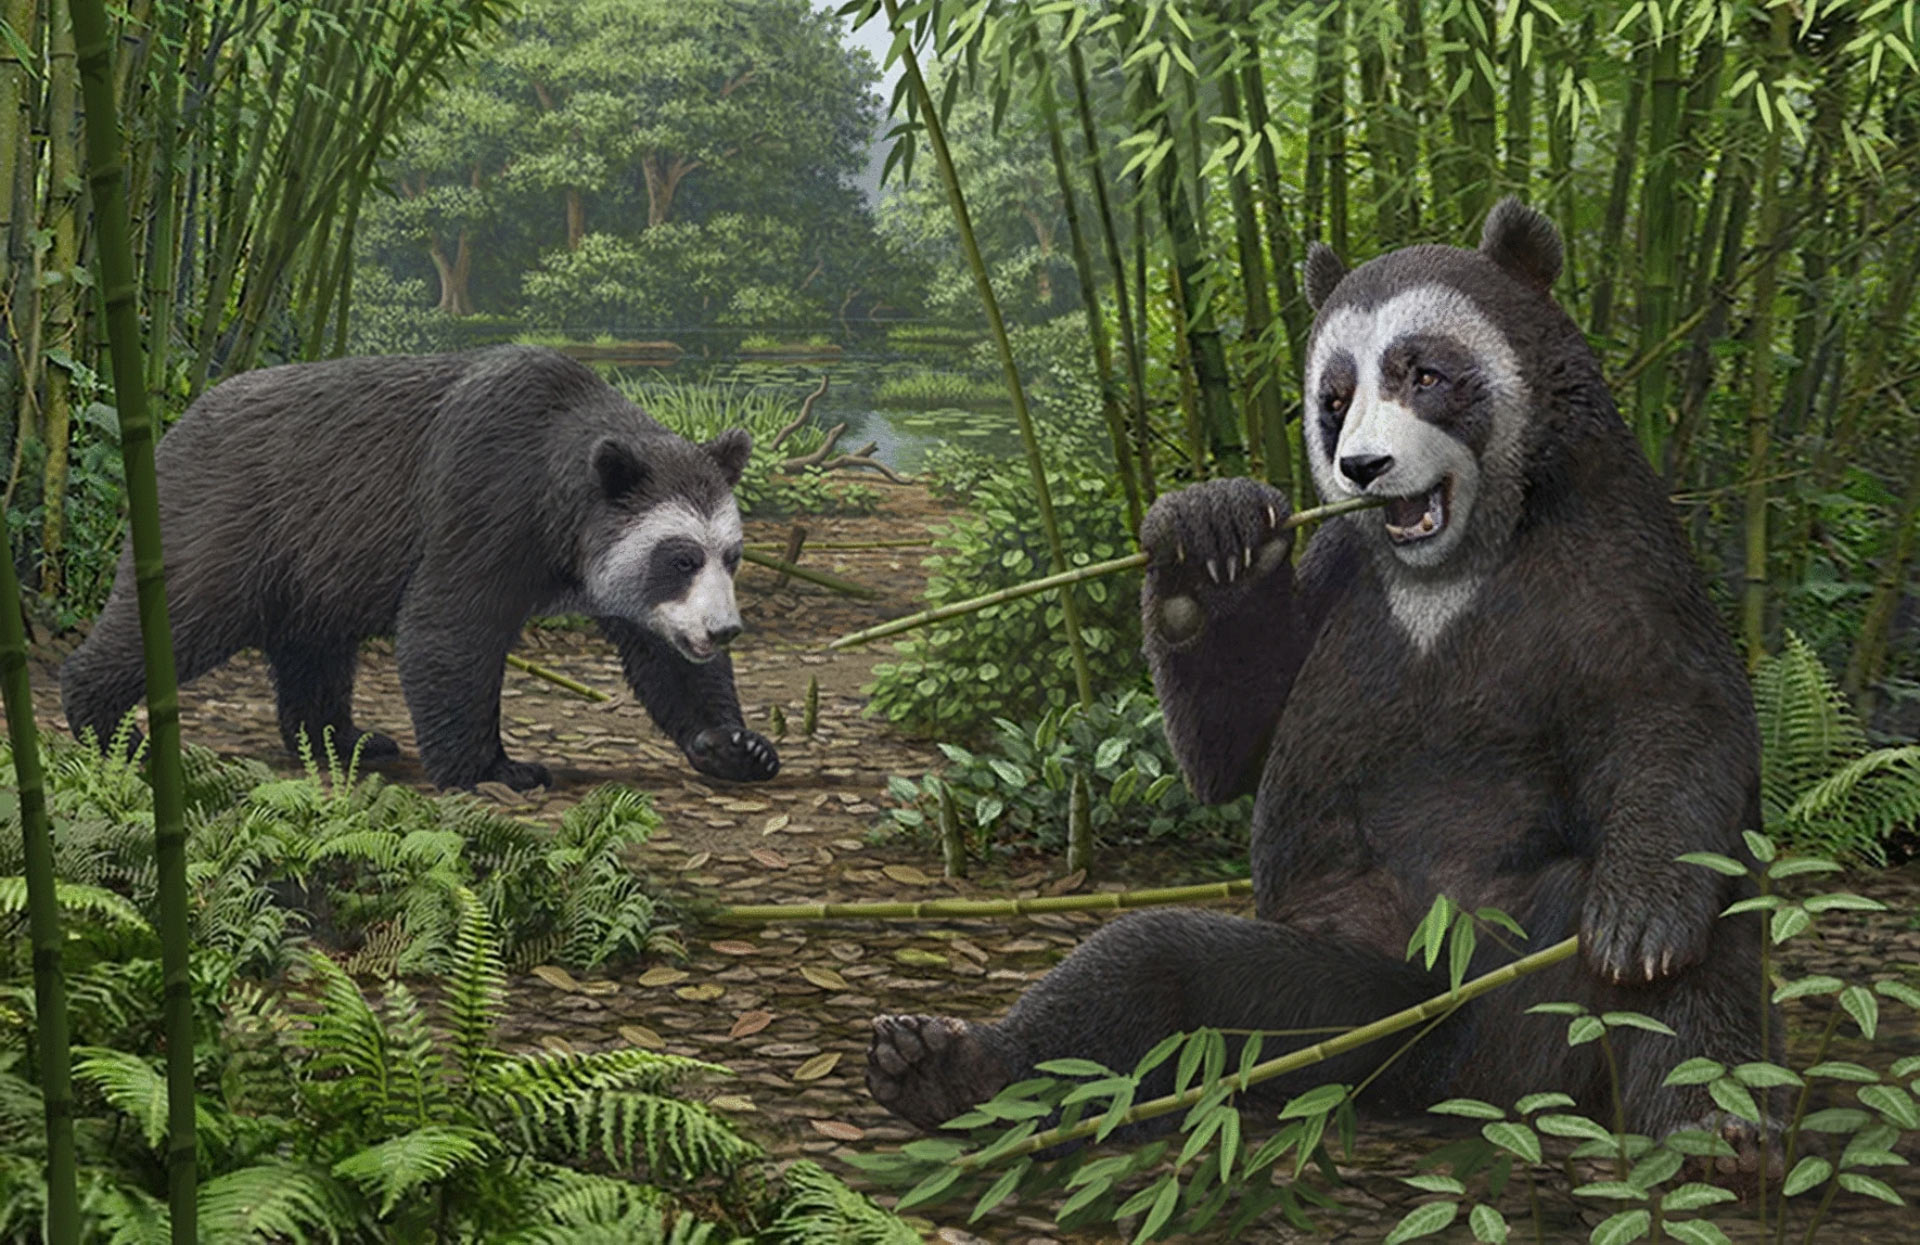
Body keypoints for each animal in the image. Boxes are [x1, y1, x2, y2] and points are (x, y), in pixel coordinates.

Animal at [60, 345, 780, 791]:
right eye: (680, 557)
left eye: (730, 554)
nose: (722, 630)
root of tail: (175, 424)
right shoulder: (485, 493)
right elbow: (447, 627)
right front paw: (496, 768)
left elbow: (661, 655)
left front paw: (735, 744)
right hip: (232, 511)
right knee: (183, 610)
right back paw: (103, 719)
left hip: (313, 555)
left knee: (312, 647)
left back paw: (344, 738)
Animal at [866, 200, 1773, 1159]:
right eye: (1333, 399)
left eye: (1424, 373)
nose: (1363, 467)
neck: (1450, 560)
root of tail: (1443, 1065)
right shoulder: (1345, 567)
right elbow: (1242, 732)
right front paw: (1207, 538)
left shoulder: (1613, 544)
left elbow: (1677, 710)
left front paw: (1641, 920)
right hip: (1322, 989)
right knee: (1145, 970)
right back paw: (942, 1066)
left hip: (1531, 958)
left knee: (1706, 952)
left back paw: (1719, 1121)